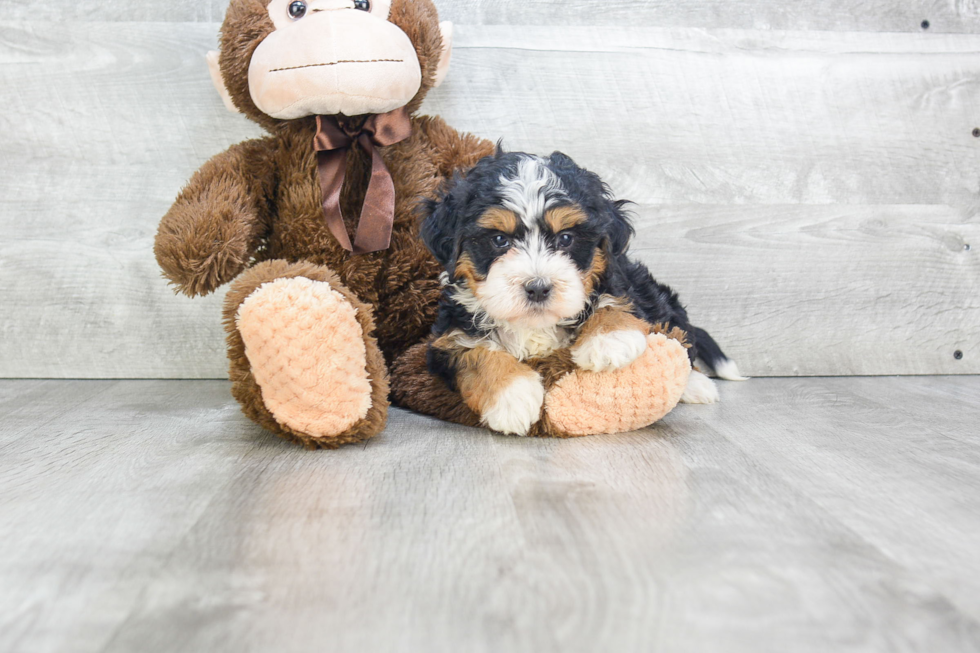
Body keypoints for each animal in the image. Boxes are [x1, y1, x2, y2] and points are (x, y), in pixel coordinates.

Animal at [418, 148, 748, 432]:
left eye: (565, 238)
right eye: (500, 240)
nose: (538, 288)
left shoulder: (619, 280)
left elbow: (612, 300)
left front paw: (610, 340)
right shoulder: (448, 337)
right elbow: (474, 353)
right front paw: (513, 397)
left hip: (657, 296)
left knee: (681, 337)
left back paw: (697, 385)